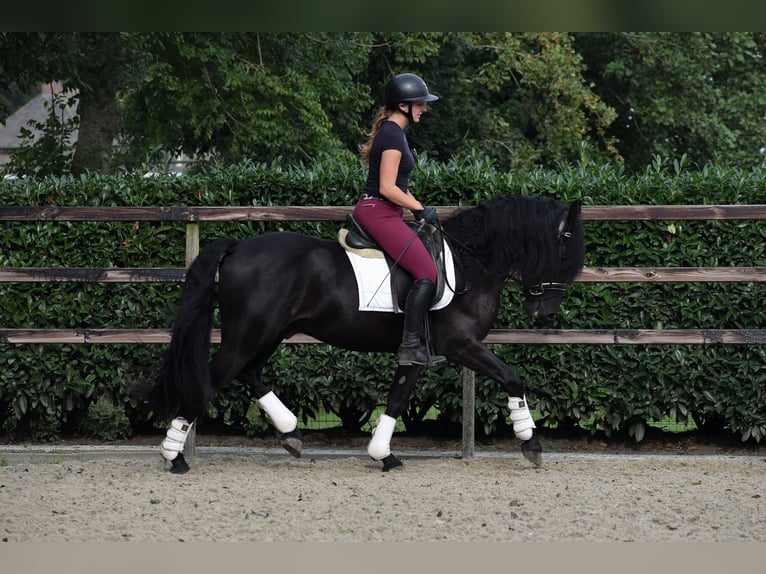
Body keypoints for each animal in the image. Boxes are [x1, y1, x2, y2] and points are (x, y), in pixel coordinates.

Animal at [146, 196, 588, 474]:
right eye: (566, 249)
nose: (546, 313)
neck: (469, 264)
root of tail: (239, 247)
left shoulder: (418, 351)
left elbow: (396, 397)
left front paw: (382, 454)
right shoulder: (461, 345)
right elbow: (513, 377)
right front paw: (531, 443)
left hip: (271, 332)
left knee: (250, 373)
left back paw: (291, 433)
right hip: (249, 335)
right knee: (213, 377)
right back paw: (174, 457)